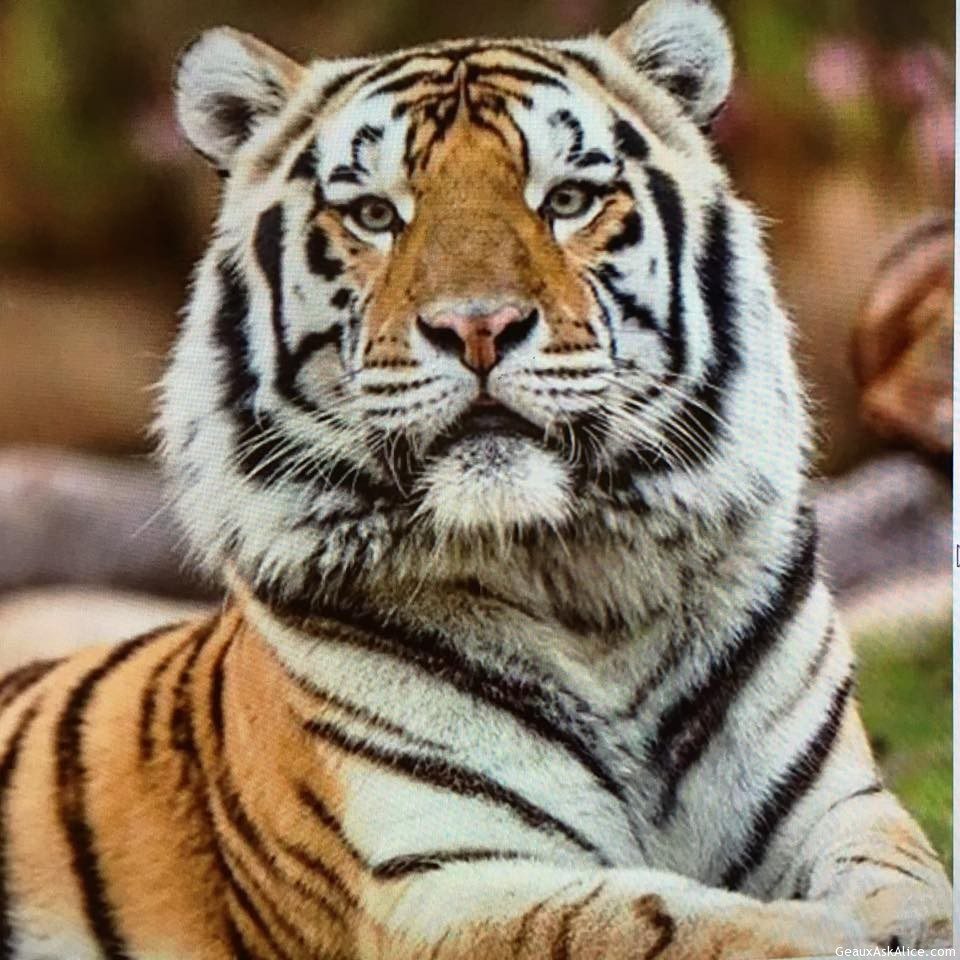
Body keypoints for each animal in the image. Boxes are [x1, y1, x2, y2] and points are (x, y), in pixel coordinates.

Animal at [0, 1, 952, 957]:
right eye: (374, 214)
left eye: (567, 200)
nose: (478, 327)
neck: (584, 587)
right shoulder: (431, 882)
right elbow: (656, 917)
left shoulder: (841, 809)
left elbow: (909, 887)